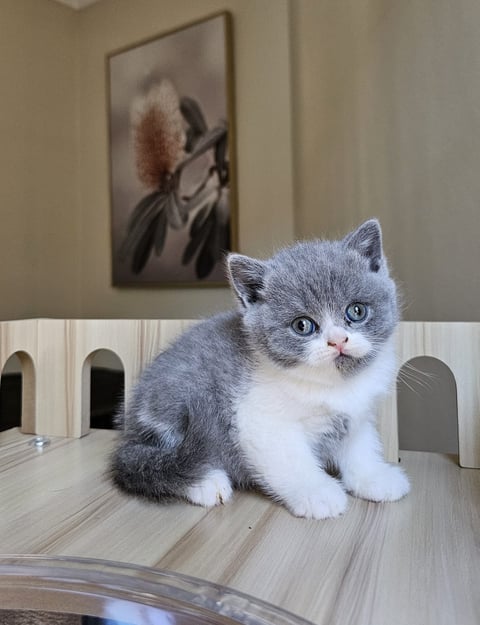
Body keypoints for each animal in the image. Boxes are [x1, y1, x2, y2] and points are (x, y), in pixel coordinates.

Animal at [110, 219, 410, 516]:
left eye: (356, 311)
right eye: (303, 325)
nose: (337, 341)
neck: (334, 384)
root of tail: (130, 428)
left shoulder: (356, 415)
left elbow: (361, 447)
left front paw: (375, 477)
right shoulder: (259, 419)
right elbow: (291, 459)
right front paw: (317, 493)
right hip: (175, 400)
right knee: (159, 464)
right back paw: (207, 482)